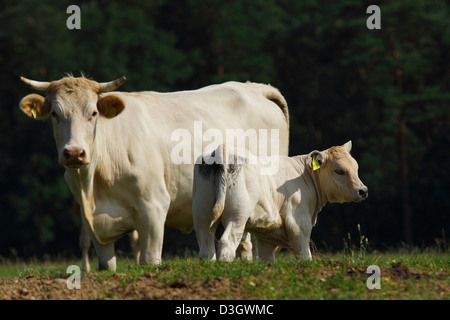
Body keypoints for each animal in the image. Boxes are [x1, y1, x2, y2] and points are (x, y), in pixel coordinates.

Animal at [19, 75, 288, 270]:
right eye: (55, 114)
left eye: (93, 113)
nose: (74, 153)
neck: (93, 185)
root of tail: (253, 88)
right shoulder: (92, 223)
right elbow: (106, 265)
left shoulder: (154, 206)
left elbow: (150, 259)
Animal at [192, 141, 368, 262]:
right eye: (339, 171)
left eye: (356, 168)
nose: (363, 190)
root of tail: (223, 148)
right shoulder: (299, 225)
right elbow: (305, 255)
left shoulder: (266, 237)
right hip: (237, 216)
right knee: (227, 243)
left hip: (202, 214)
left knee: (206, 249)